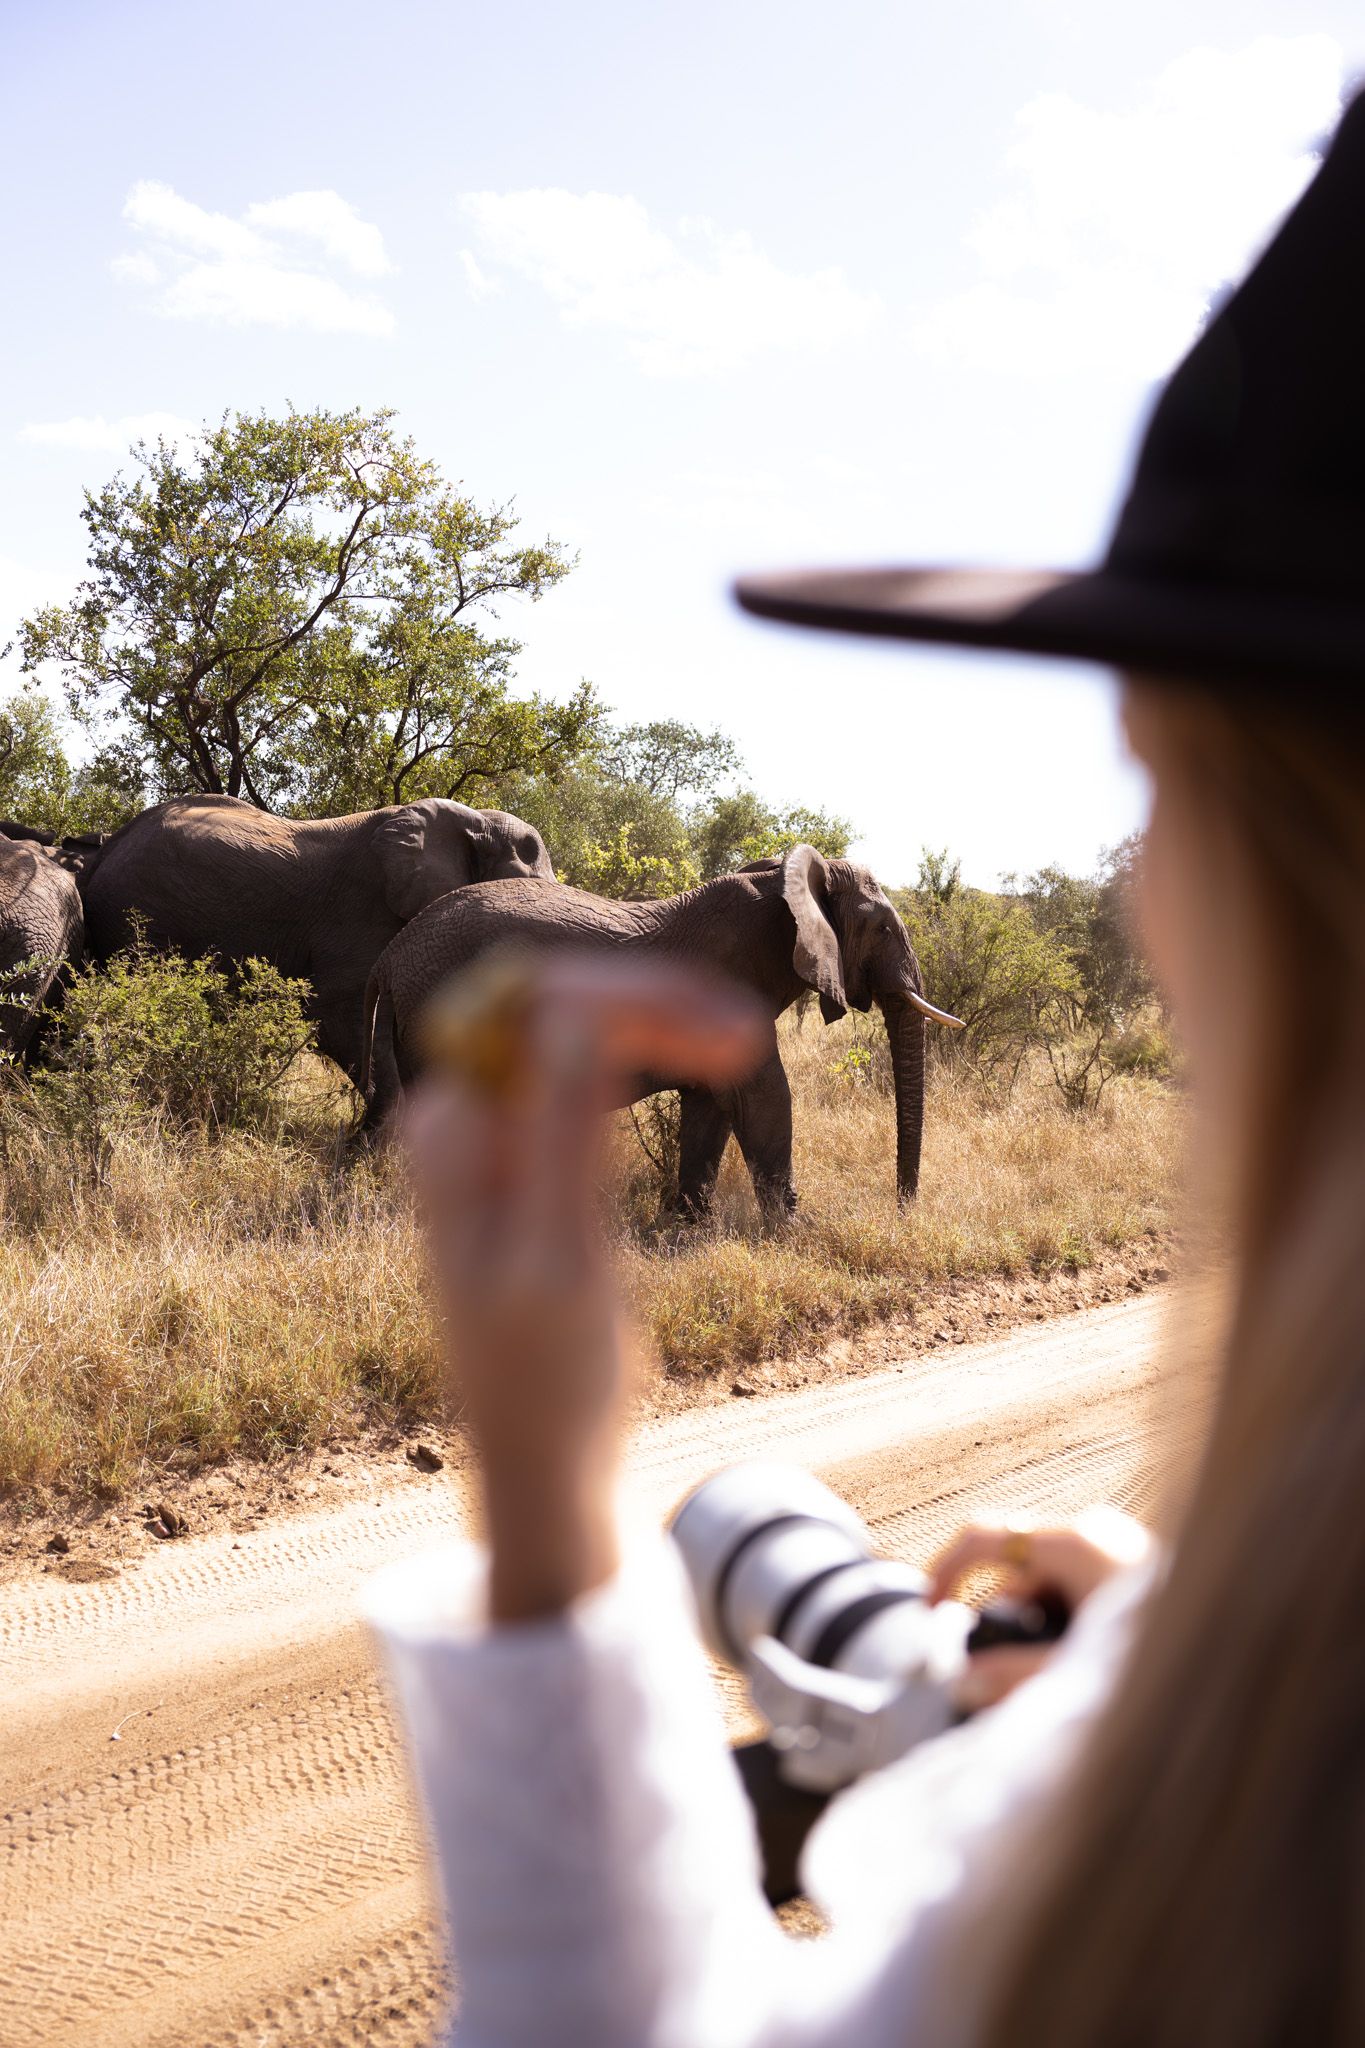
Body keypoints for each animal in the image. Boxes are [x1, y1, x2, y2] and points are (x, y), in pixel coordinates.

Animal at [358, 845, 963, 1215]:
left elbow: (710, 1106)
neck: (786, 877)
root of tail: (389, 958)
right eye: (882, 928)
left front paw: (690, 1224)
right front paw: (791, 1231)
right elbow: (765, 1098)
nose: (902, 1209)